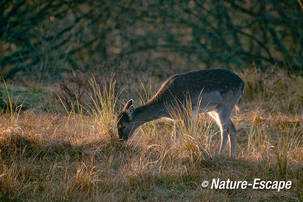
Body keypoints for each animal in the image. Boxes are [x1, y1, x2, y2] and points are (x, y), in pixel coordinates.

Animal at [116, 68, 245, 157]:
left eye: (123, 125)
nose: (121, 140)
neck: (165, 105)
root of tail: (242, 84)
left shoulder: (187, 112)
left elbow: (188, 133)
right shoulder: (178, 118)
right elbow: (176, 135)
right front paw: (174, 149)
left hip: (225, 106)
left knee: (225, 130)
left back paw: (219, 154)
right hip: (215, 110)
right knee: (232, 128)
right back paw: (232, 156)